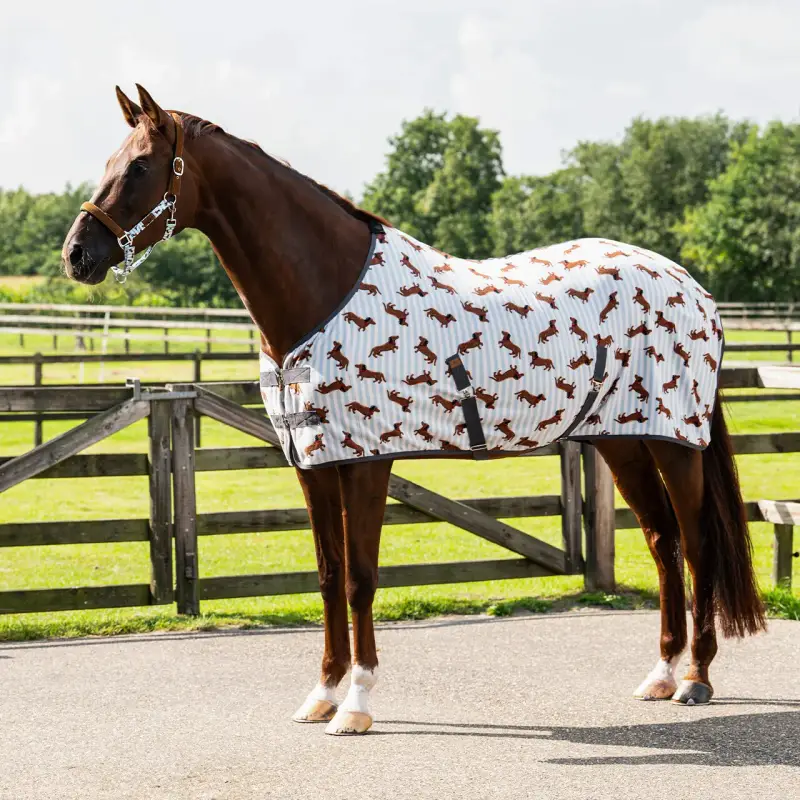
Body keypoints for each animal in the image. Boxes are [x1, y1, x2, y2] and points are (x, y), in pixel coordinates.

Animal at [62, 85, 765, 736]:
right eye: (111, 159)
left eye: (142, 166)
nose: (77, 255)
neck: (324, 290)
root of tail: (694, 289)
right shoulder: (313, 462)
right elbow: (327, 575)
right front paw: (321, 695)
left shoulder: (368, 460)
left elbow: (361, 579)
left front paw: (357, 705)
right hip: (621, 439)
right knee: (662, 540)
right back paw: (661, 674)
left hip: (675, 441)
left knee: (697, 542)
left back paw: (696, 679)